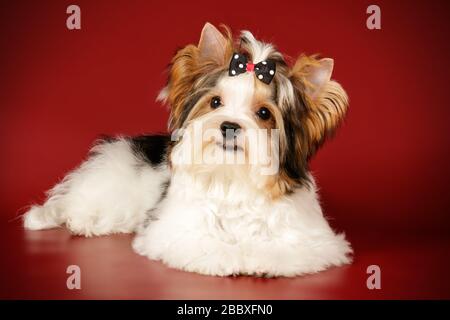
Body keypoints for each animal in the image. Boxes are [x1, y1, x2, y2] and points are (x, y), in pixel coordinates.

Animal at [22, 23, 354, 278]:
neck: (232, 176)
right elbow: (200, 242)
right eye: (216, 102)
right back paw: (78, 220)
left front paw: (260, 258)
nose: (229, 126)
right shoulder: (173, 230)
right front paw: (228, 256)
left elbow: (290, 249)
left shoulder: (313, 239)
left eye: (263, 113)